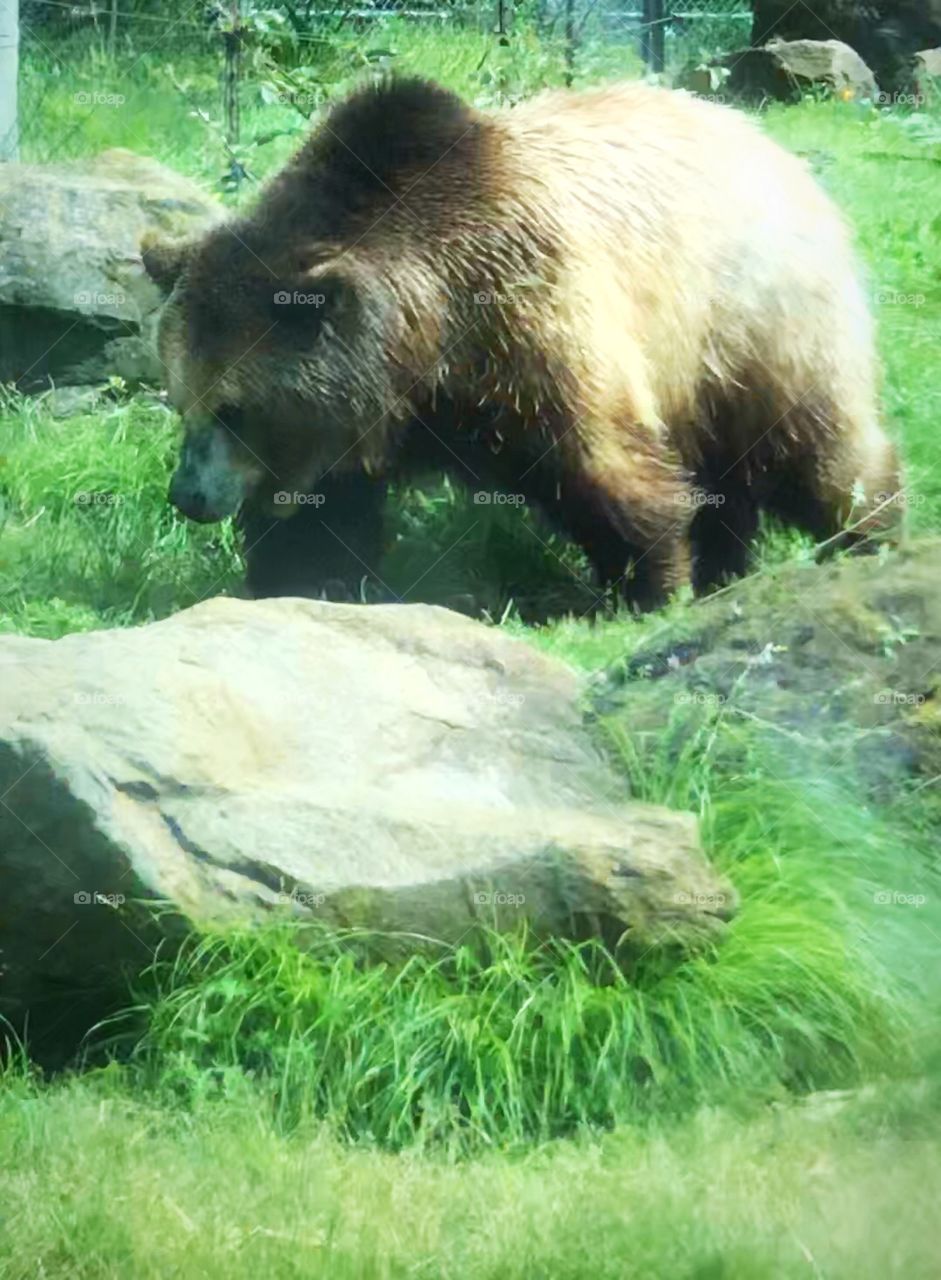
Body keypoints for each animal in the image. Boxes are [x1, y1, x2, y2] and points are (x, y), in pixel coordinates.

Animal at [142, 76, 900, 612]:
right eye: (181, 400)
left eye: (234, 408)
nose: (188, 495)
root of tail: (772, 148)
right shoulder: (358, 411)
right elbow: (324, 512)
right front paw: (298, 577)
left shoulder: (528, 313)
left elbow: (600, 461)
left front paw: (648, 584)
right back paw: (729, 568)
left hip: (755, 320)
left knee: (814, 442)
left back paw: (870, 534)